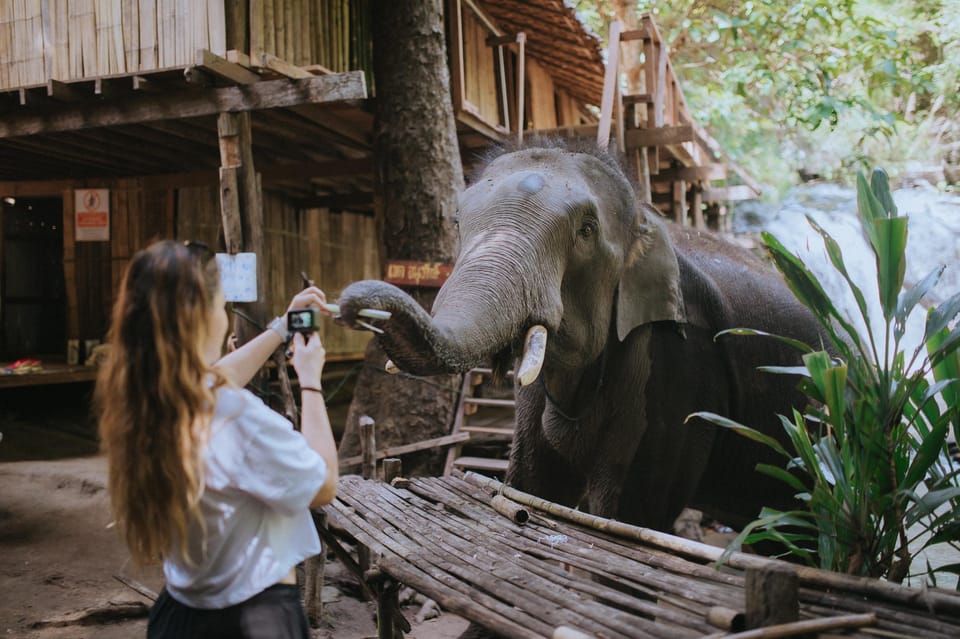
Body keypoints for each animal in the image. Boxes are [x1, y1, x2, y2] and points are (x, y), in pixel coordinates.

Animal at [334, 142, 820, 532]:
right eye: (456, 223)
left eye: (586, 230)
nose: (353, 303)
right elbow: (534, 487)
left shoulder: (679, 369)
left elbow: (626, 516)